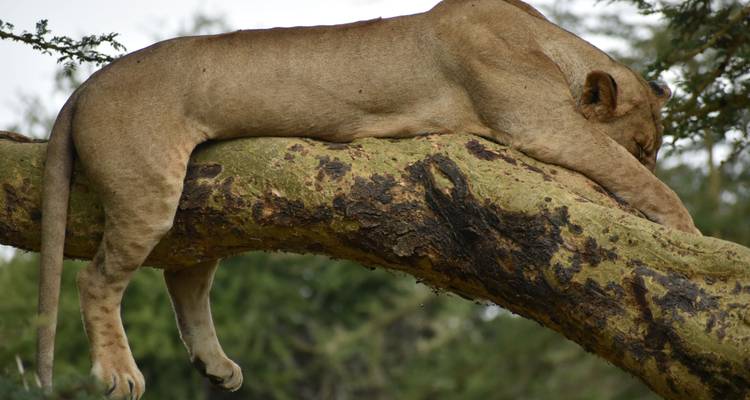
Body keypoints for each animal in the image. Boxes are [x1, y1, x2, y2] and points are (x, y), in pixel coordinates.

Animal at [36, 0, 699, 398]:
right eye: (645, 146)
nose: (652, 153)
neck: (547, 44)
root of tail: (86, 85)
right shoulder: (538, 124)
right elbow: (630, 176)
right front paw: (688, 230)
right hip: (148, 190)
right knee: (97, 279)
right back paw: (119, 373)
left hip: (198, 209)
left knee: (184, 276)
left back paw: (214, 365)